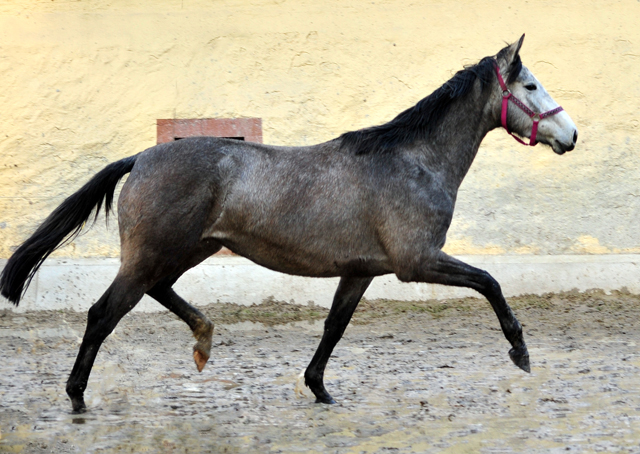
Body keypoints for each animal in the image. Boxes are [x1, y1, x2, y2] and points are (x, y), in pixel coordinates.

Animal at [0, 35, 576, 412]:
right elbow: (490, 282)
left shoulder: (362, 269)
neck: (412, 160)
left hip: (187, 249)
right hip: (154, 253)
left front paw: (319, 387)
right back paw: (77, 396)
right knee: (103, 314)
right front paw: (520, 352)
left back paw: (204, 341)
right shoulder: (417, 262)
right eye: (530, 85)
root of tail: (140, 157)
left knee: (158, 292)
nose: (570, 135)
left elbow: (334, 326)